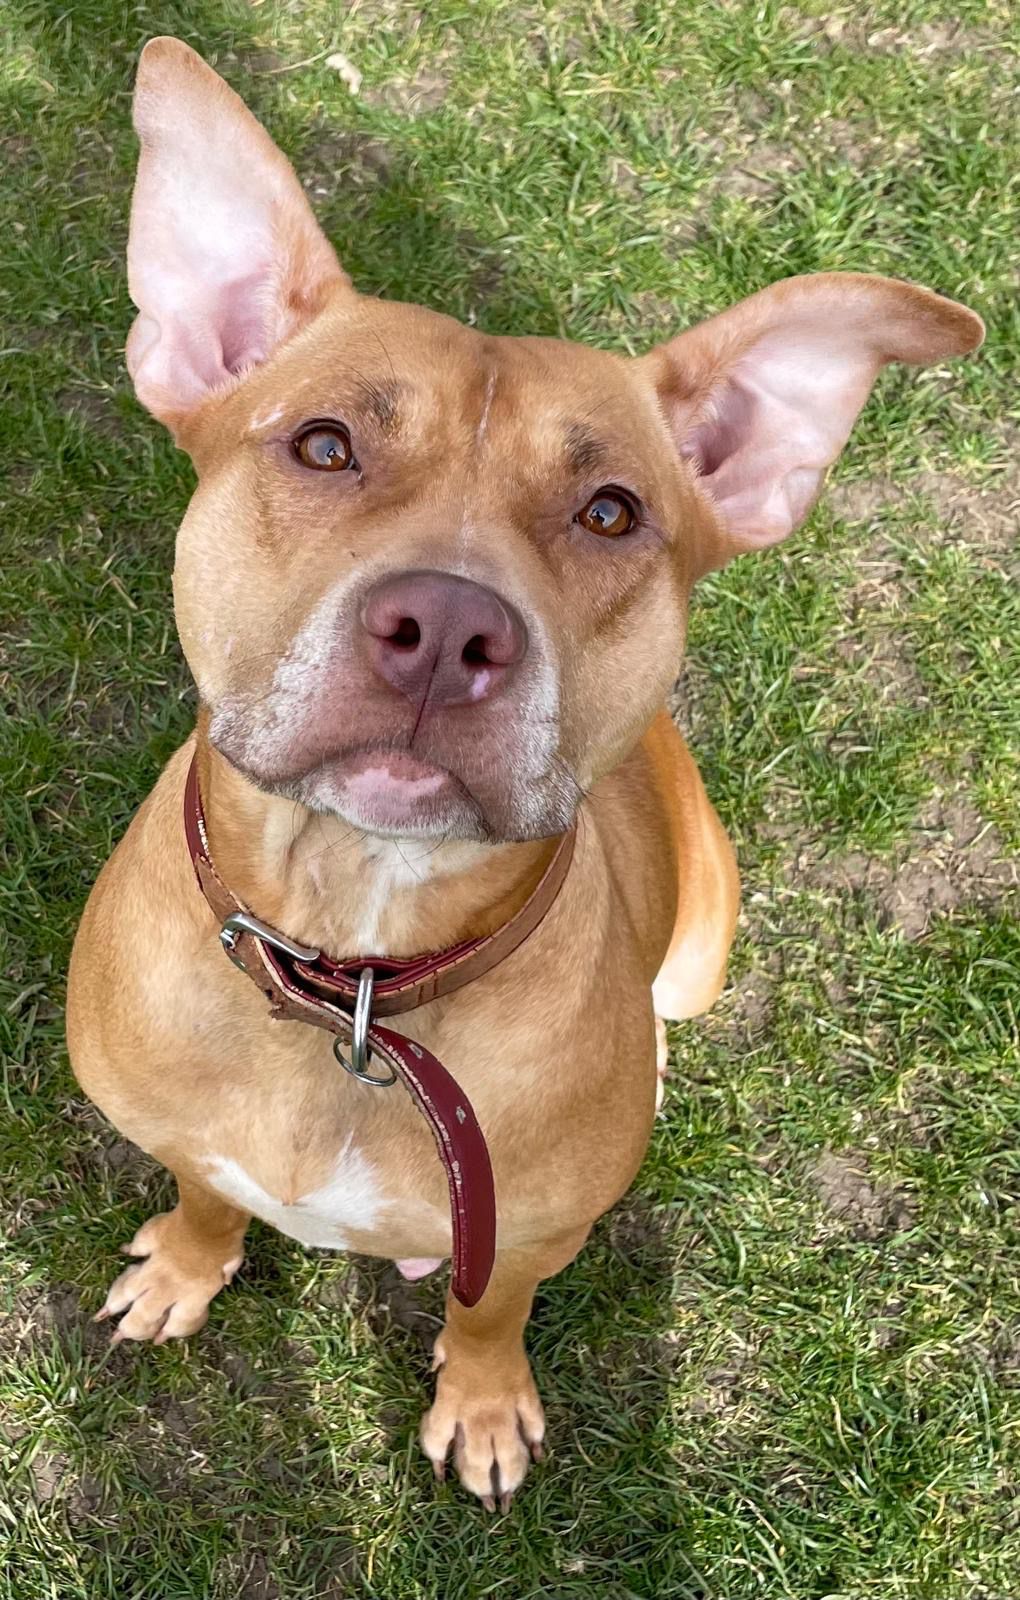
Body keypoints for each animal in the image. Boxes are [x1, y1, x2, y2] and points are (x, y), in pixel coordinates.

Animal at [66, 36, 983, 1510]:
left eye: (610, 512)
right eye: (323, 443)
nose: (446, 629)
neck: (357, 981)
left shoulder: (531, 1231)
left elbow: (489, 1306)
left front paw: (484, 1402)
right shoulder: (185, 1131)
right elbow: (209, 1191)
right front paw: (189, 1266)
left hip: (701, 947)